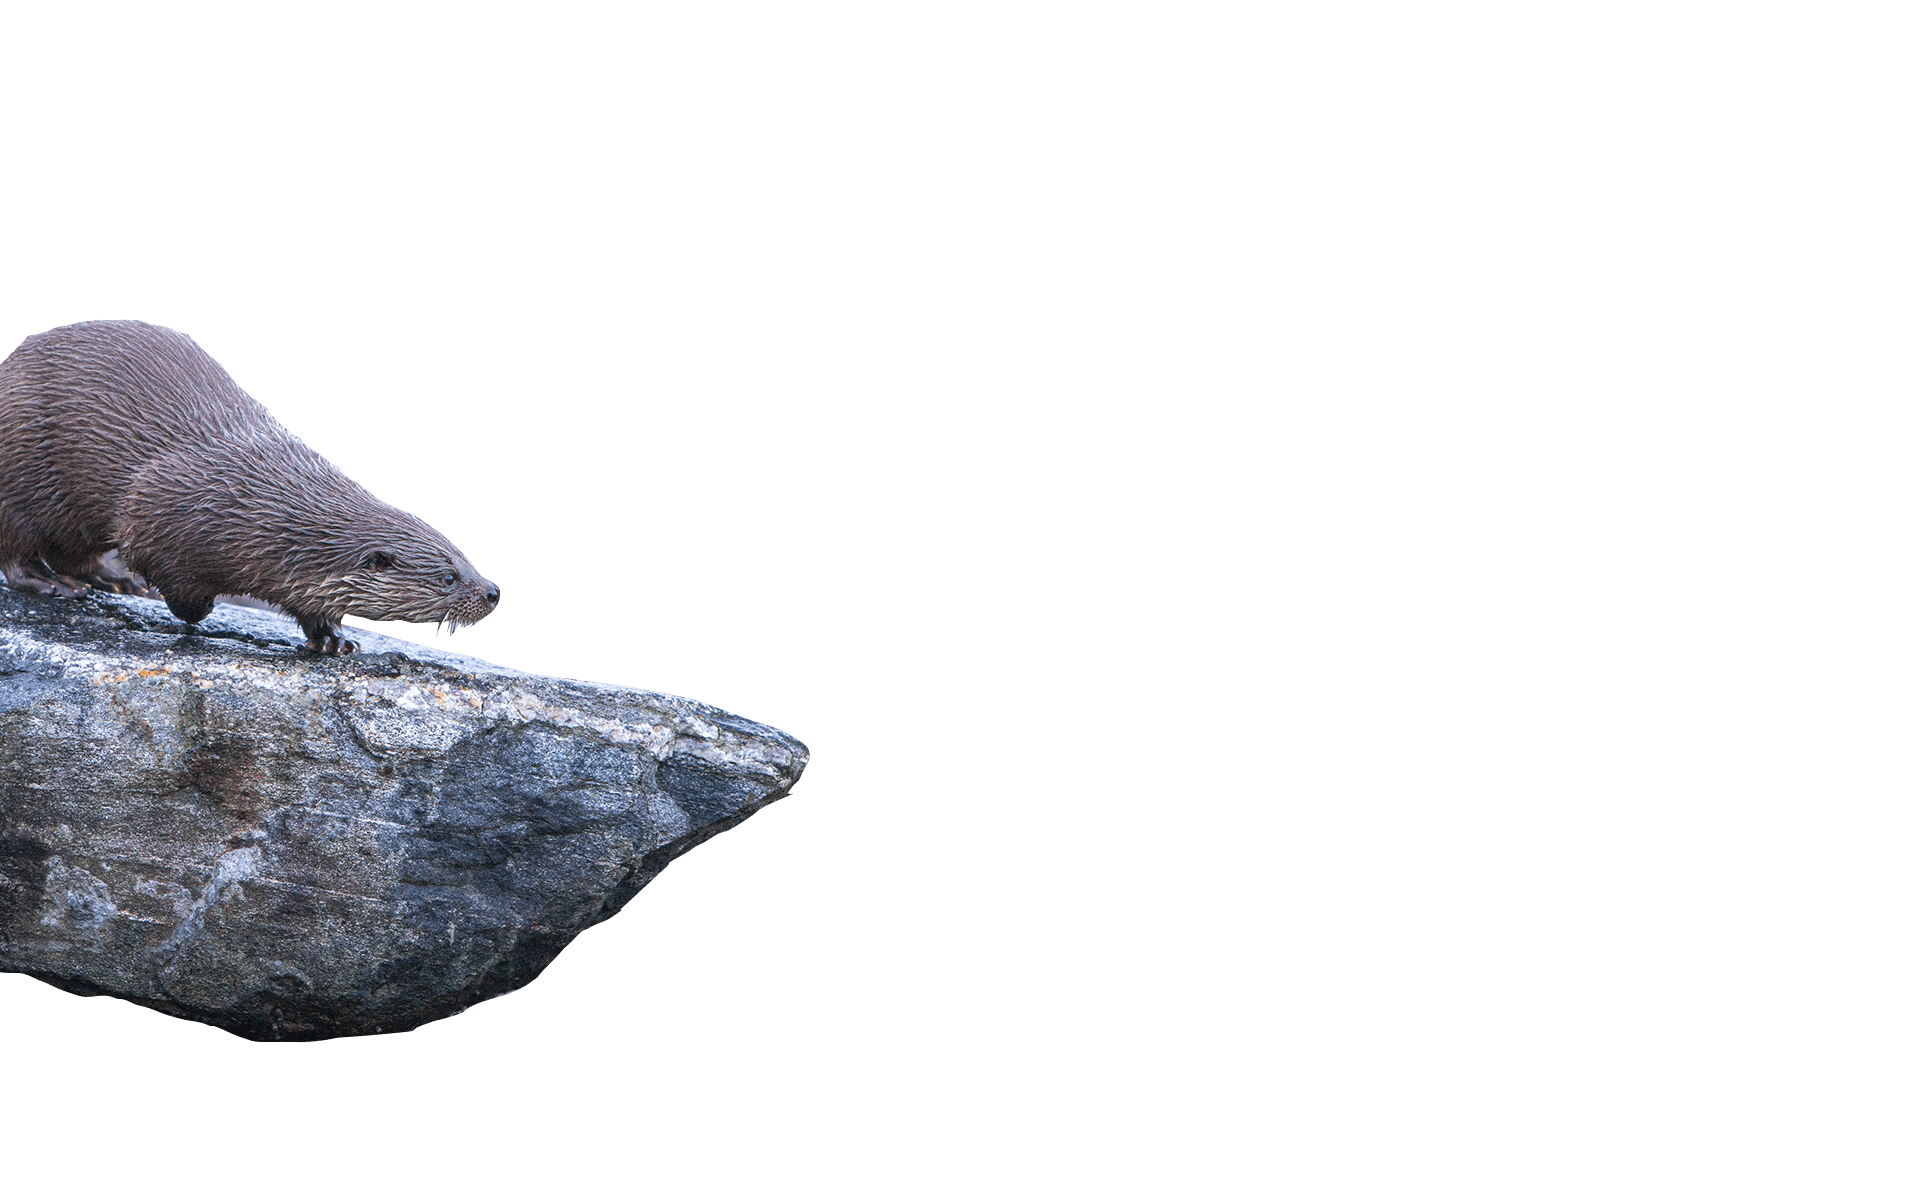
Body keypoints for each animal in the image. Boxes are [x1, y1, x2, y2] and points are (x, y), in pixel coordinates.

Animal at [0, 320, 498, 654]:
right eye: (448, 578)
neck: (252, 511)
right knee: (17, 550)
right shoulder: (152, 514)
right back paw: (52, 585)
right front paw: (195, 611)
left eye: (466, 559)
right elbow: (176, 582)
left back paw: (114, 580)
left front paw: (333, 639)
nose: (492, 592)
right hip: (21, 470)